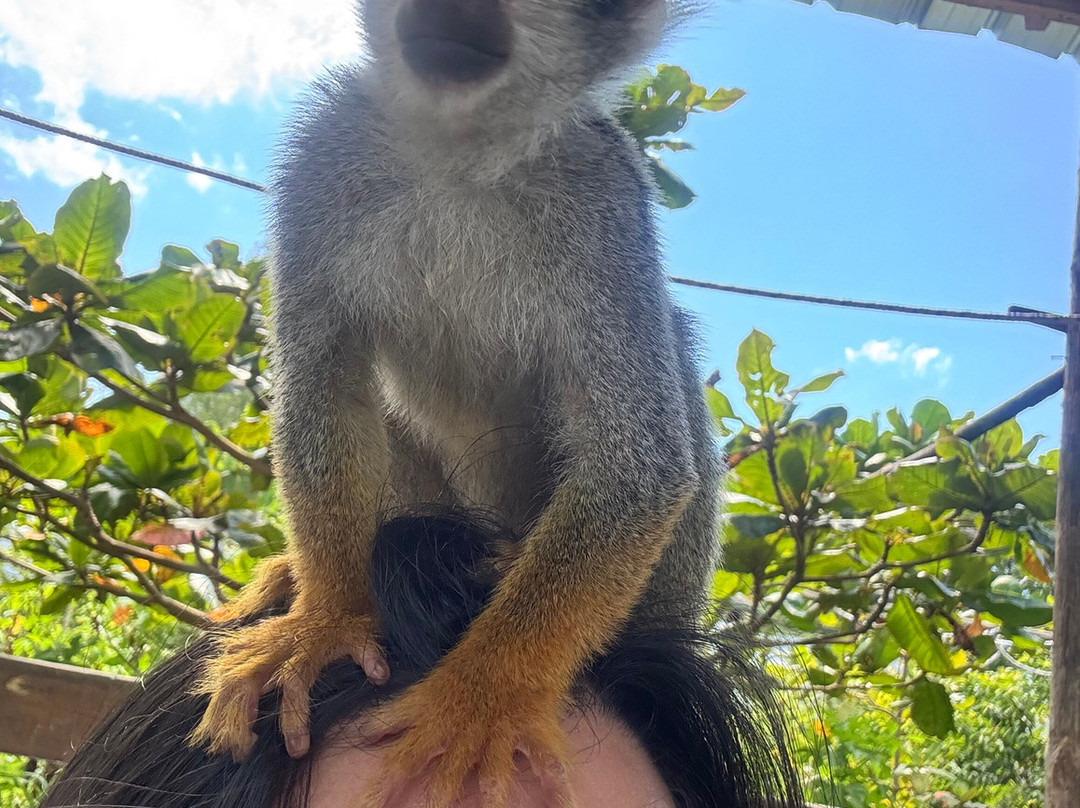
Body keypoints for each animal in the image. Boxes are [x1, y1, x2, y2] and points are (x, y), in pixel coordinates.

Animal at [190, 0, 724, 804]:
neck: (458, 155)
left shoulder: (605, 195)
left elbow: (640, 466)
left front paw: (485, 693)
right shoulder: (325, 149)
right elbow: (325, 381)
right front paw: (328, 617)